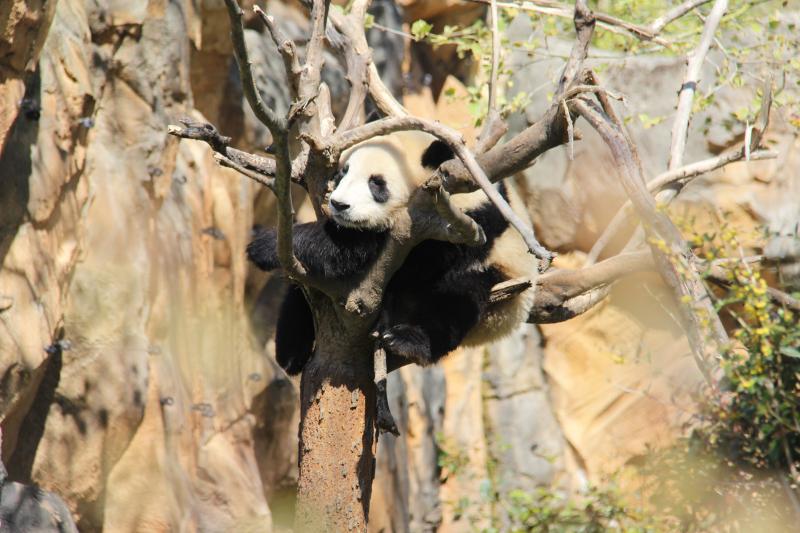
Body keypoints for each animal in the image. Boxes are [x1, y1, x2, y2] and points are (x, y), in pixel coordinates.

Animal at [248, 130, 536, 374]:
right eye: (343, 172)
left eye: (377, 183)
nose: (339, 205)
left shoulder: (463, 227)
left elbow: (356, 248)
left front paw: (265, 245)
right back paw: (291, 351)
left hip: (501, 281)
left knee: (456, 300)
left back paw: (408, 341)